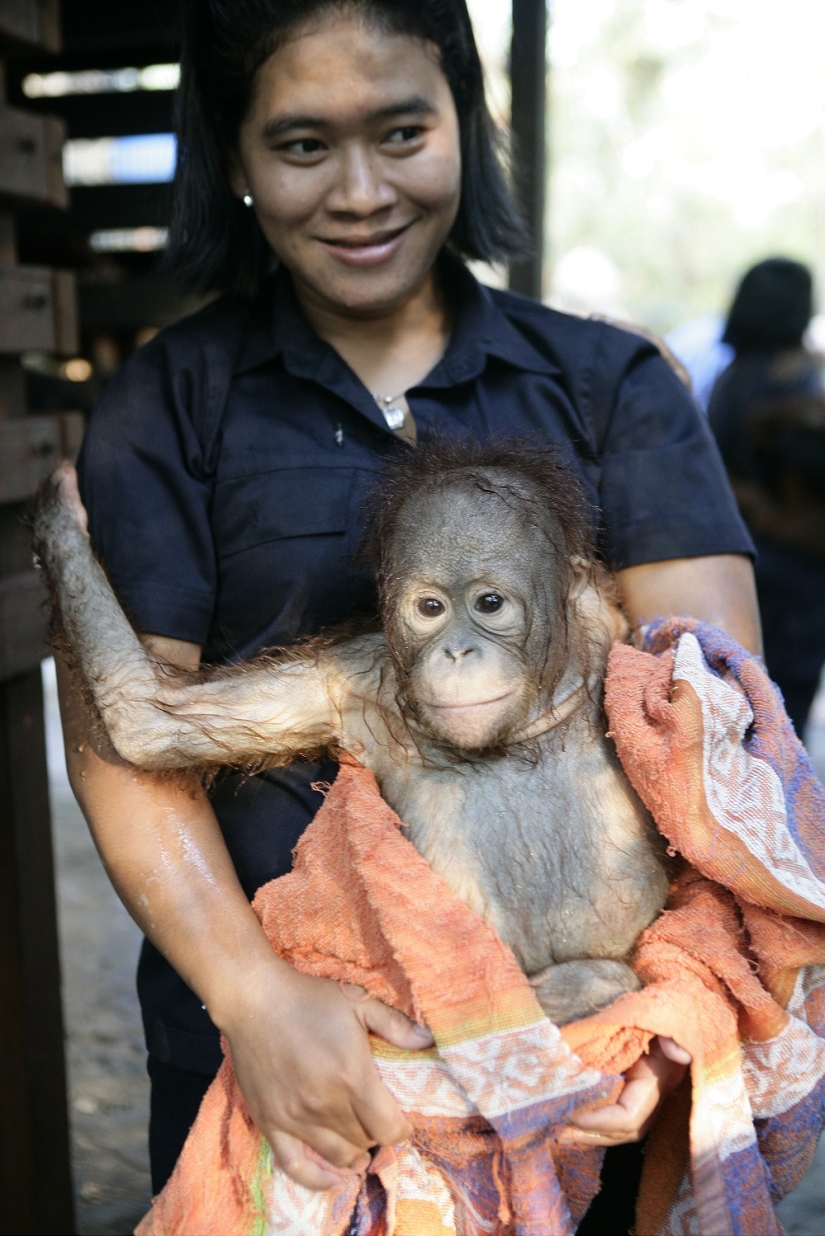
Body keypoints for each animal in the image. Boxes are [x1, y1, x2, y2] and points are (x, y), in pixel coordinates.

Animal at [33, 441, 670, 1026]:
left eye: (489, 603)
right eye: (430, 608)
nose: (458, 652)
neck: (508, 735)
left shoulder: (596, 622)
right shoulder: (349, 682)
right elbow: (150, 717)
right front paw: (59, 514)